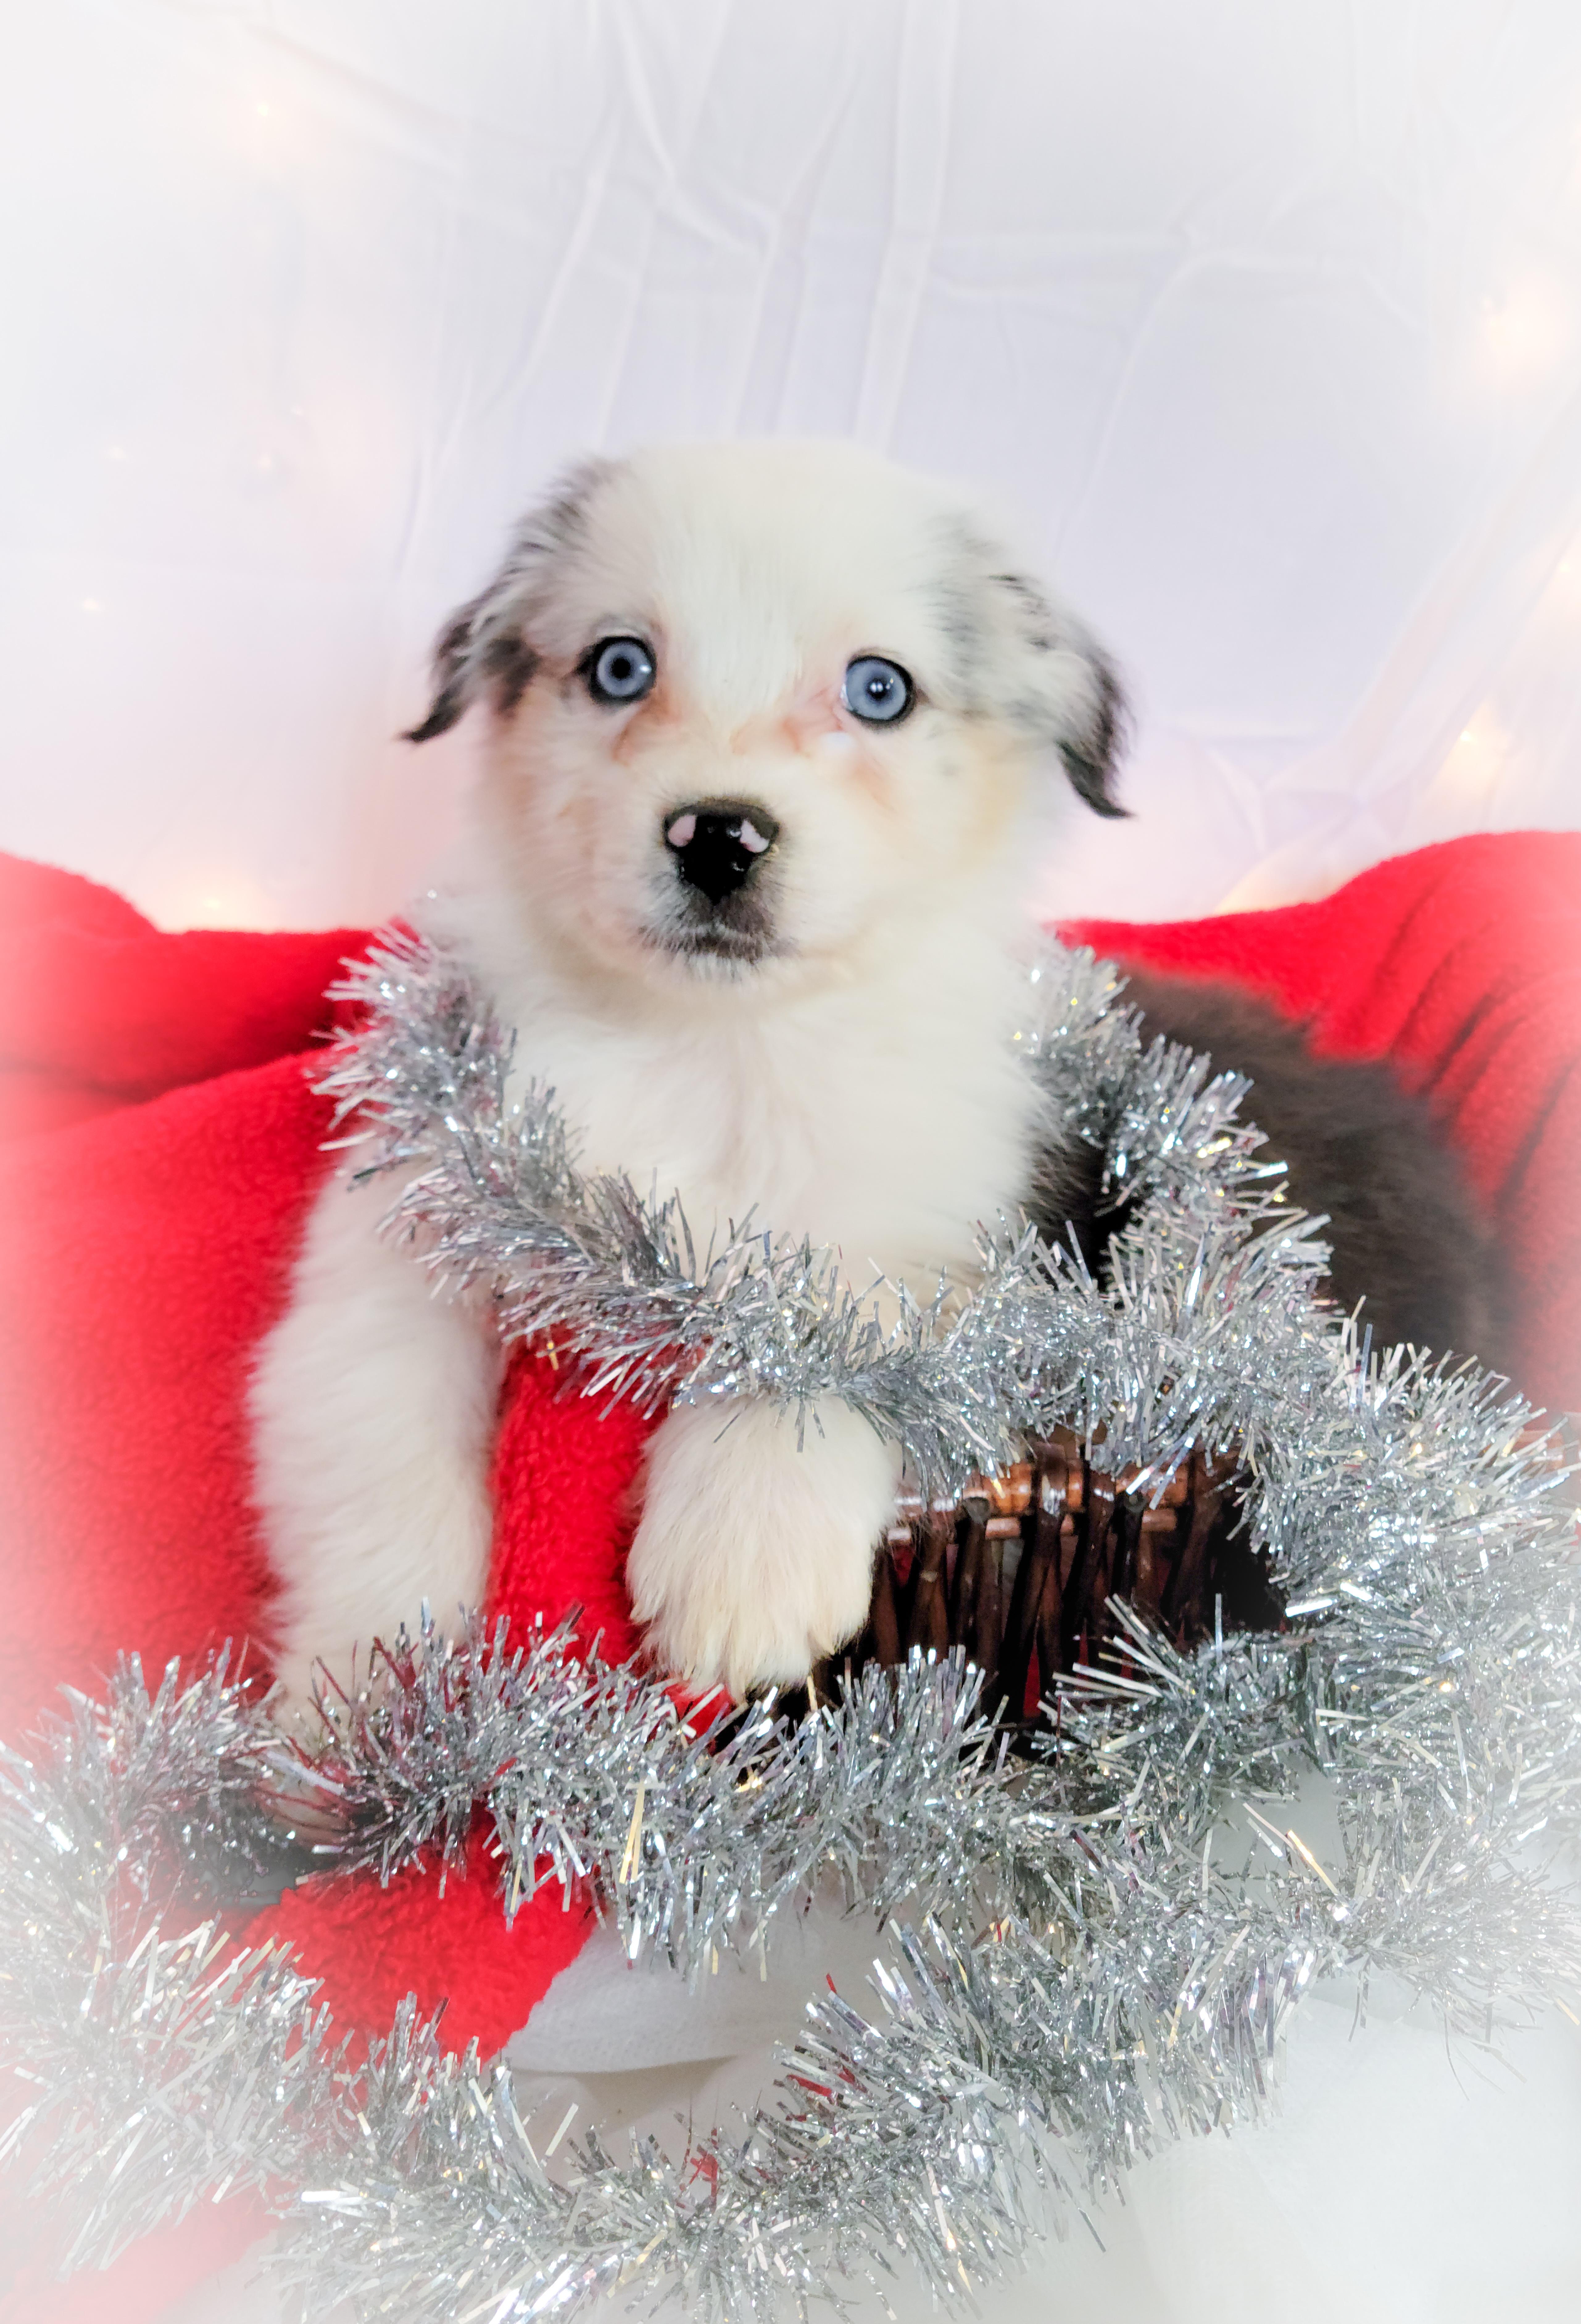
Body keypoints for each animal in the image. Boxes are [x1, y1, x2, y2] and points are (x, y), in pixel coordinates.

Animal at [250, 441, 1503, 1709]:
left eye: (878, 690)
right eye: (618, 666)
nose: (718, 837)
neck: (715, 1044)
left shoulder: (925, 1207)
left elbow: (811, 1315)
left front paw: (742, 1550)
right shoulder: (416, 1205)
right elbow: (369, 1412)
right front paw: (369, 1676)